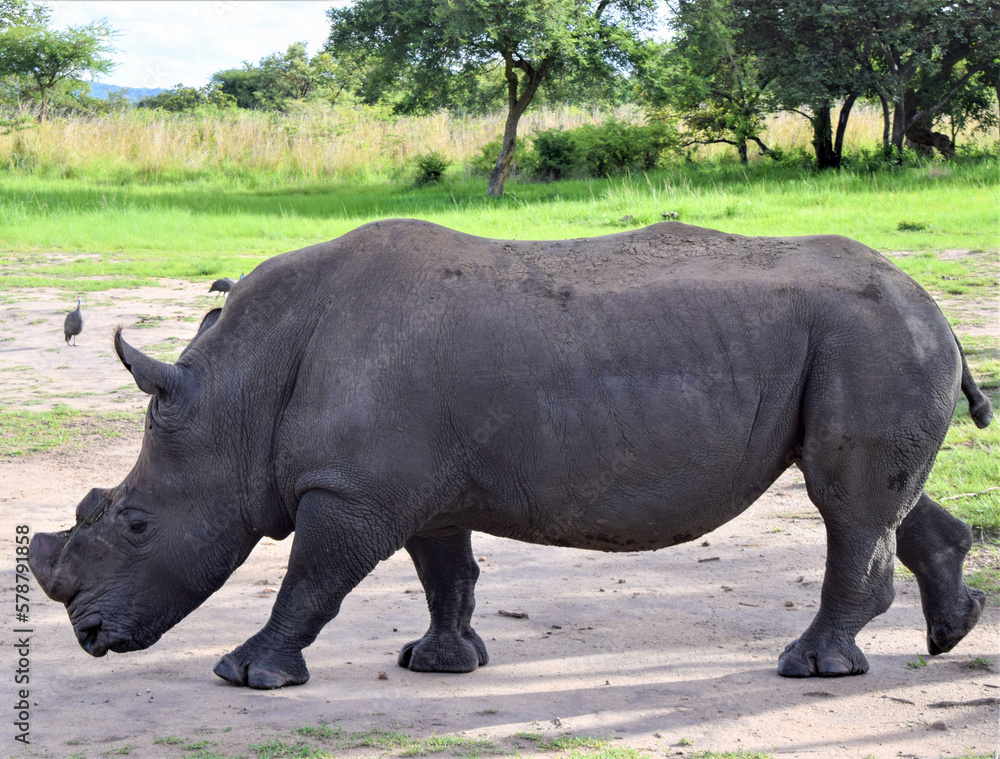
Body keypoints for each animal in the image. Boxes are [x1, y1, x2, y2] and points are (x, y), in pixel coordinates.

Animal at [30, 220, 991, 689]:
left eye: (136, 523)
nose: (89, 637)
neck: (237, 398)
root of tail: (930, 299)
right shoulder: (413, 486)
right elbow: (444, 572)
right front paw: (442, 662)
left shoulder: (353, 490)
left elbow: (312, 578)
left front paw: (248, 673)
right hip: (875, 337)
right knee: (879, 497)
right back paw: (949, 631)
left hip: (870, 335)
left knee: (845, 499)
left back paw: (811, 666)